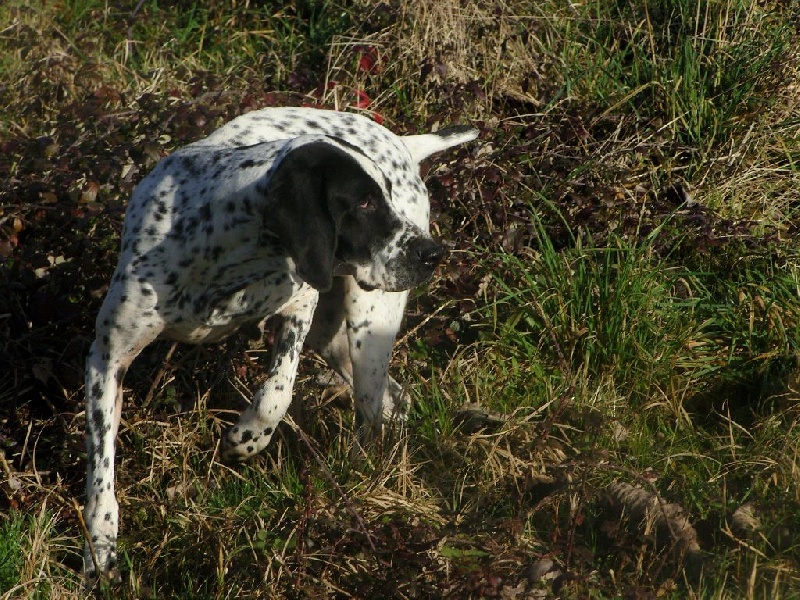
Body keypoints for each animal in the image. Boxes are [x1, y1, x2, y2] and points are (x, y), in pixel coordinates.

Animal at [84, 108, 478, 580]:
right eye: (364, 202)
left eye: (383, 195)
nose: (432, 253)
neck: (219, 250)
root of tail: (404, 141)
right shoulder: (107, 359)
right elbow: (101, 471)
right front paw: (100, 546)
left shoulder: (301, 300)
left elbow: (277, 392)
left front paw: (249, 437)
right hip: (337, 338)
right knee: (394, 401)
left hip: (369, 326)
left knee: (371, 410)